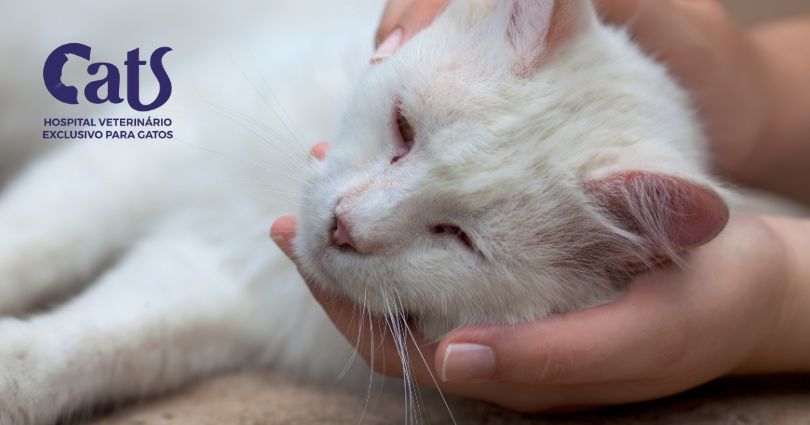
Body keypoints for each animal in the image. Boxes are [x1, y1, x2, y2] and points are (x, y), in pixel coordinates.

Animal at [0, 0, 728, 420]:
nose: (345, 225)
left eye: (459, 237)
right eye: (404, 128)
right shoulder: (141, 154)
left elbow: (90, 342)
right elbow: (33, 235)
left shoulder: (211, 282)